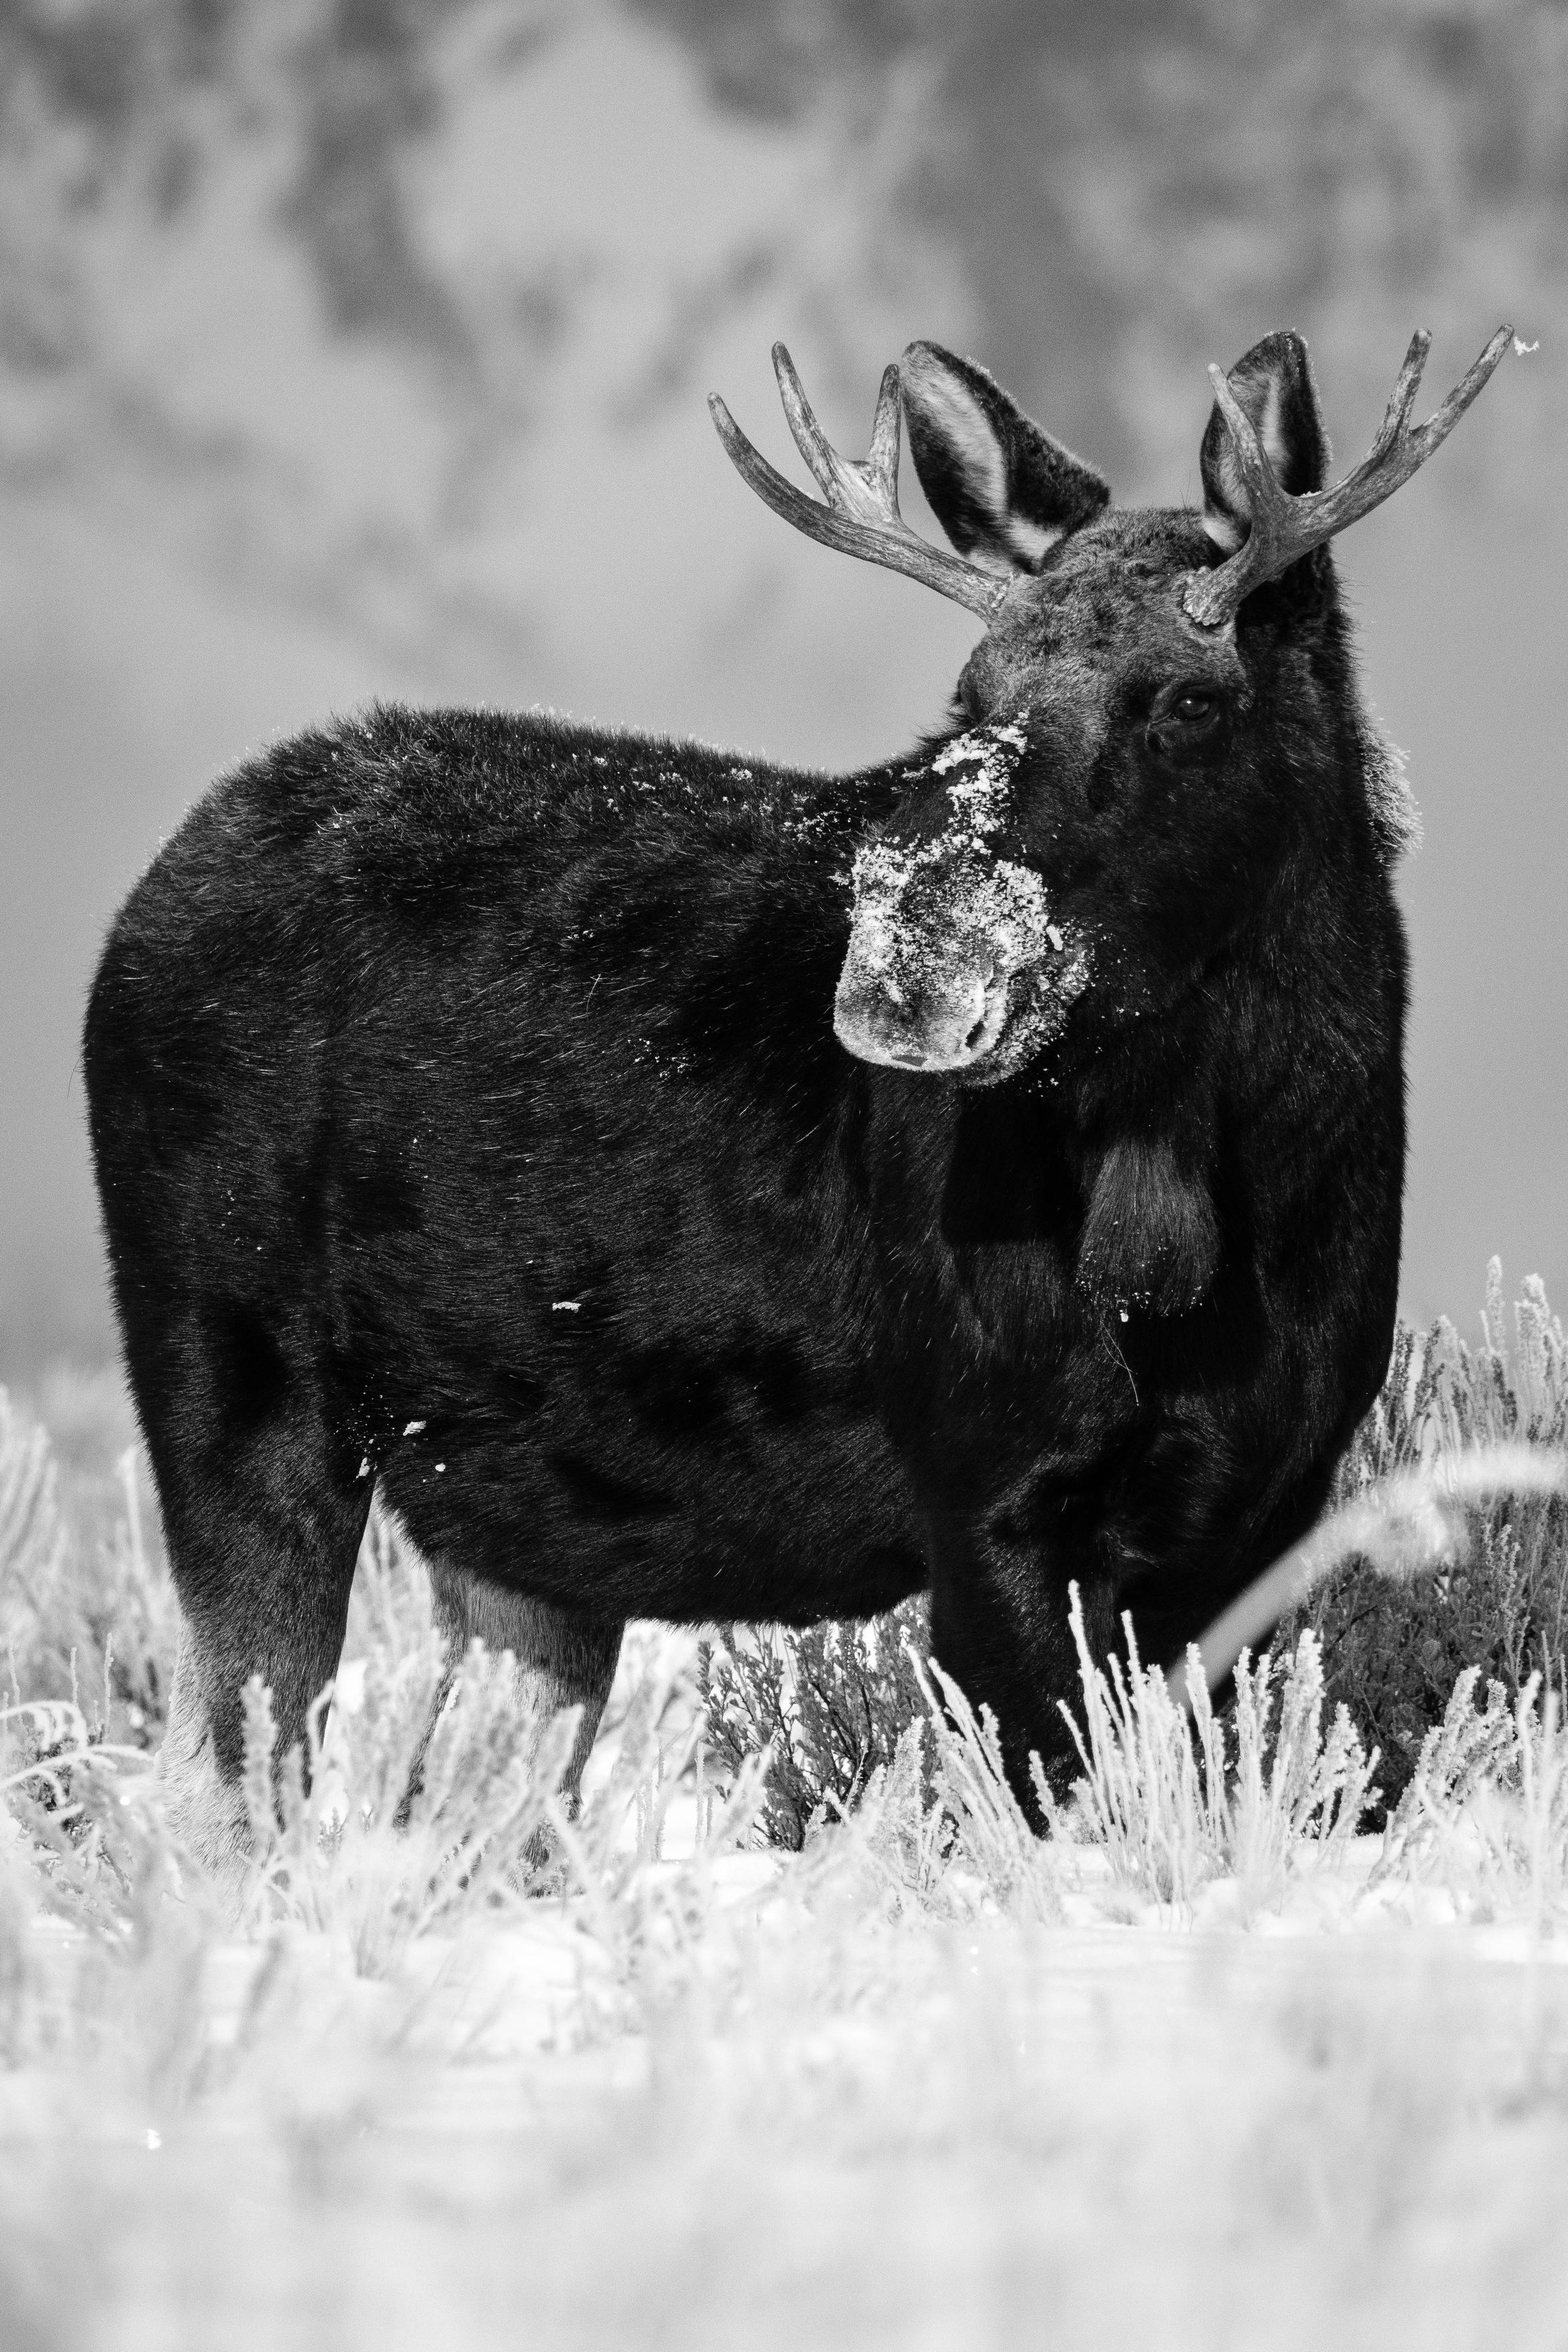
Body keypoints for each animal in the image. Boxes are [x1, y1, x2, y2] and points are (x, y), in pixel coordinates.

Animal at [83, 322, 1511, 1882]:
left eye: (1194, 697)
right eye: (971, 696)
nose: (912, 971)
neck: (1230, 1196)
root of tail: (150, 892)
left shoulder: (1266, 1504)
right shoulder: (981, 1482)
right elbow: (1036, 1818)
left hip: (523, 1519)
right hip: (229, 1374)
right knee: (233, 1775)